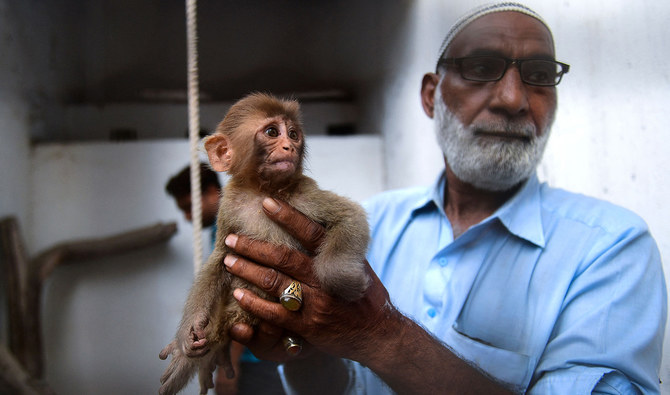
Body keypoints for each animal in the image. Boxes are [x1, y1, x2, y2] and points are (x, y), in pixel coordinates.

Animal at [159, 93, 370, 395]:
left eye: (293, 134)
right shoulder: (229, 206)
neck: (262, 191)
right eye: (272, 132)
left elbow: (350, 216)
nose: (289, 146)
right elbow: (220, 259)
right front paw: (189, 330)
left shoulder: (304, 192)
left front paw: (347, 283)